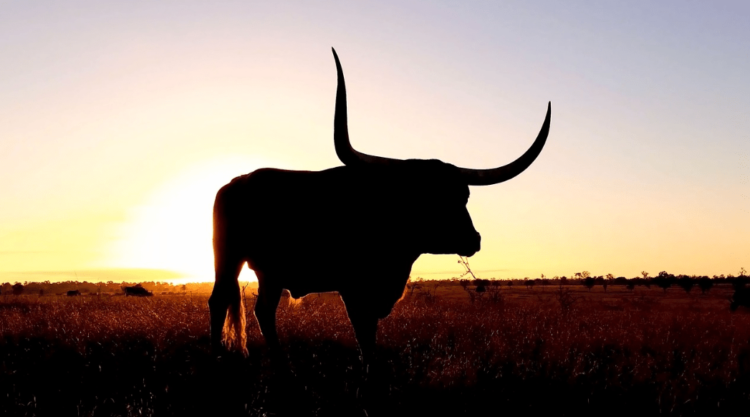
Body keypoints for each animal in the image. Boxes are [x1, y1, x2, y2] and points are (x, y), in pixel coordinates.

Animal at [208, 48, 551, 364]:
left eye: (463, 196)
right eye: (423, 197)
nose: (472, 239)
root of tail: (235, 183)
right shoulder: (354, 288)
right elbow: (365, 335)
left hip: (271, 271)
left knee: (263, 311)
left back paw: (280, 361)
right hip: (228, 257)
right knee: (219, 300)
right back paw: (218, 355)